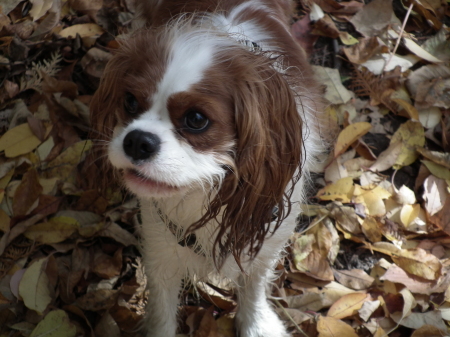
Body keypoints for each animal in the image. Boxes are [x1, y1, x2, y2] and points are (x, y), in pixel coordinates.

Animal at [89, 1, 326, 334]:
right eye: (130, 101)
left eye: (196, 119)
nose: (137, 141)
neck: (208, 190)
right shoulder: (161, 244)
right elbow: (162, 309)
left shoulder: (266, 239)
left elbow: (254, 285)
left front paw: (255, 323)